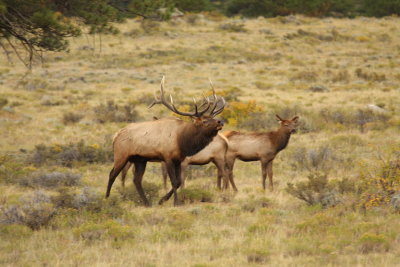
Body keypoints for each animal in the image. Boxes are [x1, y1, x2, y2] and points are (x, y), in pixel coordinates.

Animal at [105, 76, 225, 206]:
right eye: (204, 121)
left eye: (212, 118)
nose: (220, 122)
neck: (182, 141)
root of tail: (116, 136)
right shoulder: (167, 157)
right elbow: (173, 181)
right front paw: (176, 202)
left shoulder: (178, 159)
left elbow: (178, 182)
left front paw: (162, 200)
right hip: (121, 155)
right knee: (112, 174)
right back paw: (107, 198)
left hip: (140, 160)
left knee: (136, 180)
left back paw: (147, 203)